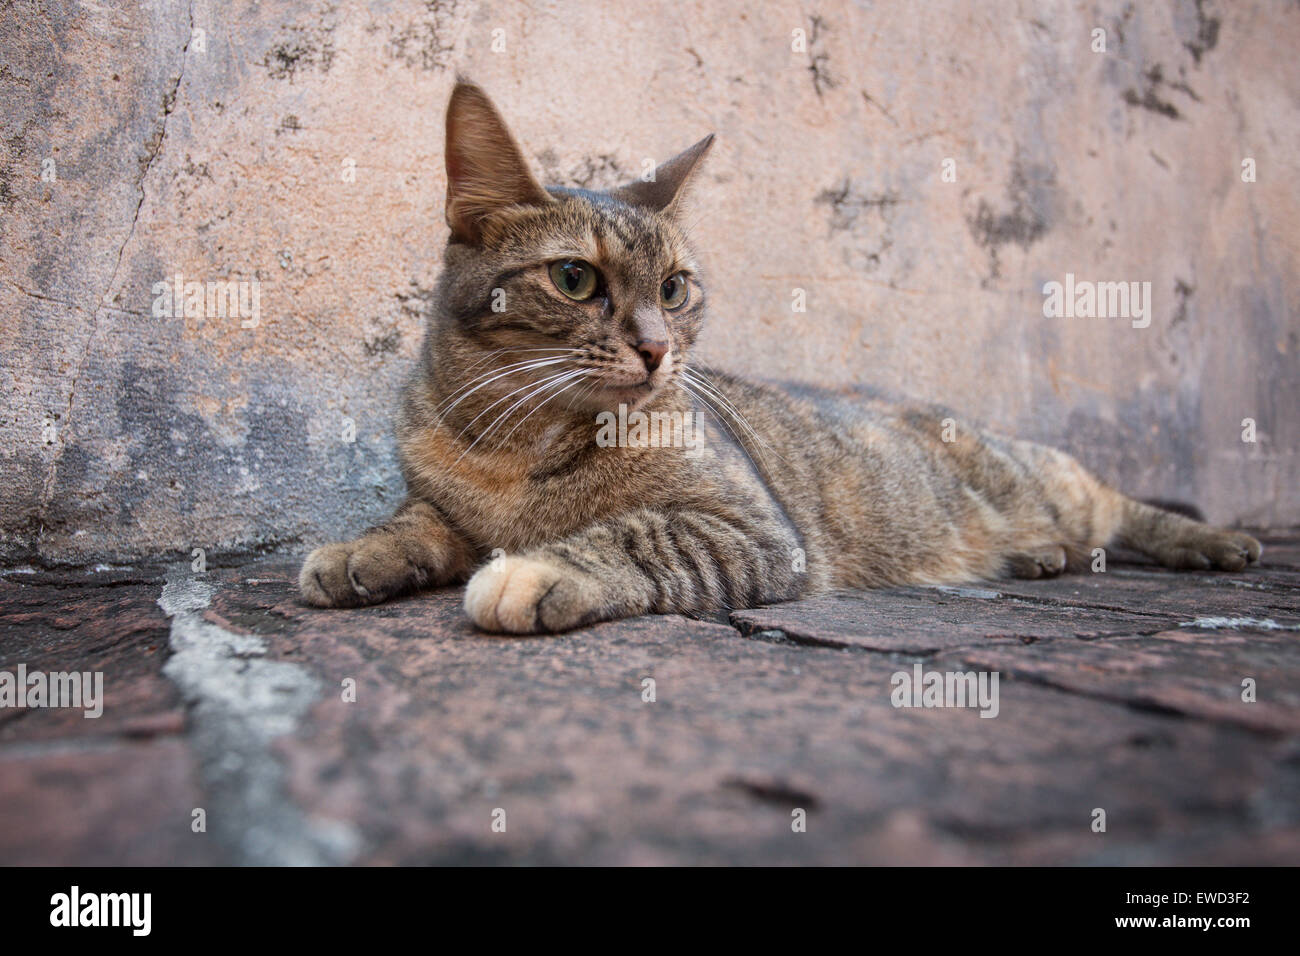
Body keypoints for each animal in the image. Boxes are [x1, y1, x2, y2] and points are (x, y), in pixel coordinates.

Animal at [299, 82, 1263, 632]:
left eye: (676, 288)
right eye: (576, 278)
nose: (657, 350)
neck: (516, 446)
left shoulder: (752, 529)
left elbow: (637, 532)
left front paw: (539, 566)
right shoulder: (443, 498)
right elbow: (417, 520)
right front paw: (362, 550)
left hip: (1047, 479)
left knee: (1116, 504)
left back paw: (1212, 542)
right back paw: (1038, 559)